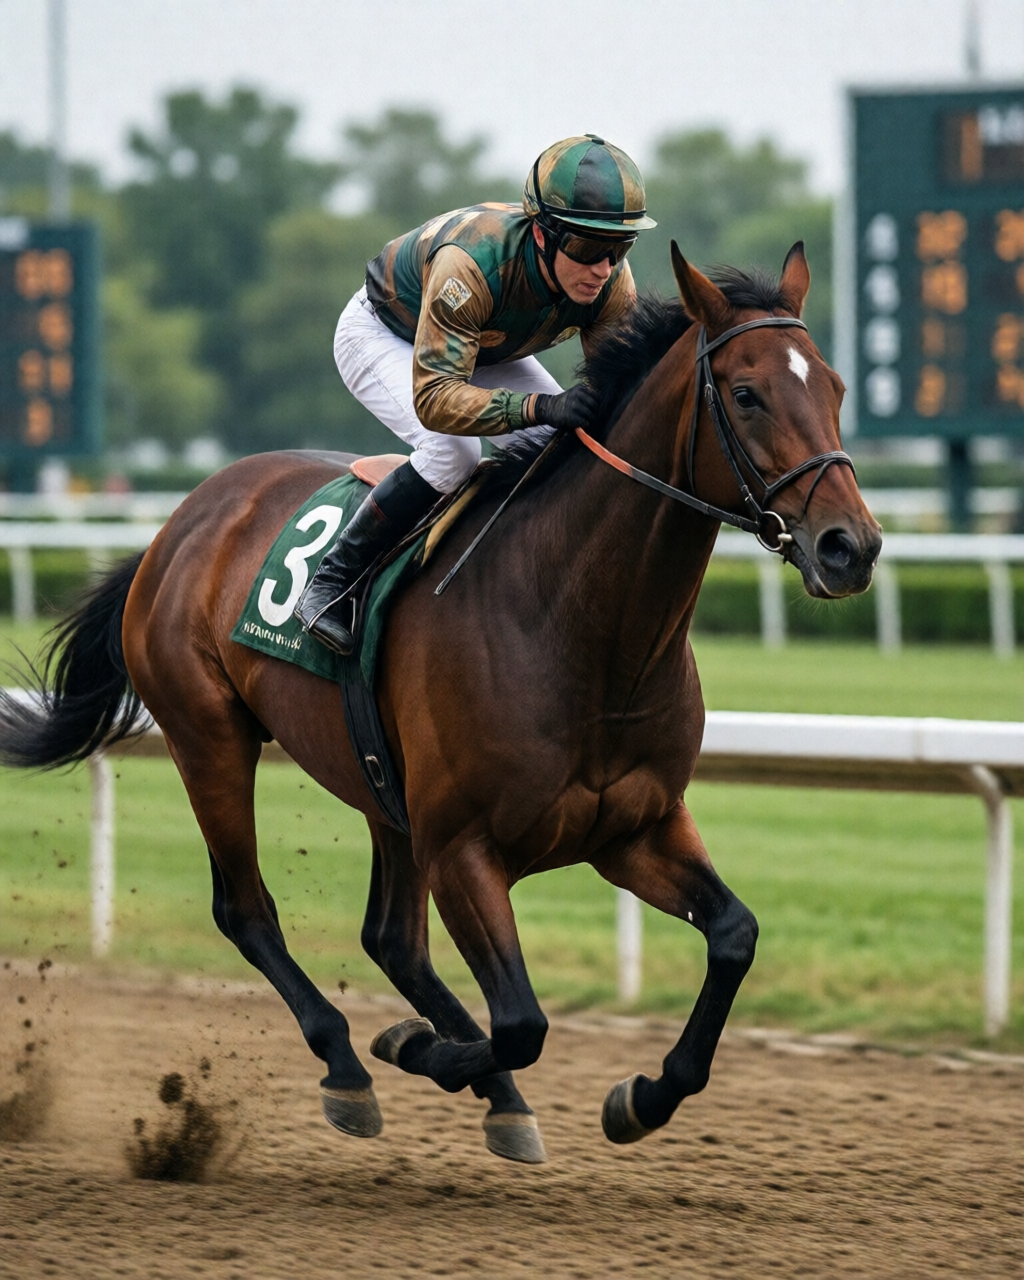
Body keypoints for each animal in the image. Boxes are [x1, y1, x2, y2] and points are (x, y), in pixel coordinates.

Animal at [0, 243, 881, 1165]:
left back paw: (490, 1093)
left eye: (833, 387)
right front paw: (415, 1047)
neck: (581, 629)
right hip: (208, 736)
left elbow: (734, 936)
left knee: (391, 939)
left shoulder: (633, 828)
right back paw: (351, 1064)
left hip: (382, 789)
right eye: (746, 394)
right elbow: (523, 1020)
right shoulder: (463, 847)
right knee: (247, 910)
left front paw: (641, 1096)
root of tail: (181, 523)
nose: (849, 547)